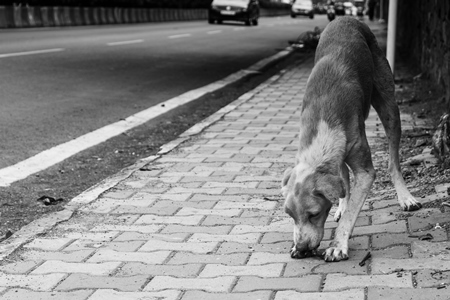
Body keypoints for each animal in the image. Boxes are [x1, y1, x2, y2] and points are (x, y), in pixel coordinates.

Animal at [282, 16, 422, 262]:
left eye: (314, 214)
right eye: (289, 215)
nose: (301, 248)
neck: (323, 121)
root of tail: (345, 17)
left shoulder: (365, 171)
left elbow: (352, 210)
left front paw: (337, 245)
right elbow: (345, 187)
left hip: (389, 105)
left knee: (393, 160)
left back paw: (406, 197)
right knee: (344, 179)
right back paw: (342, 205)